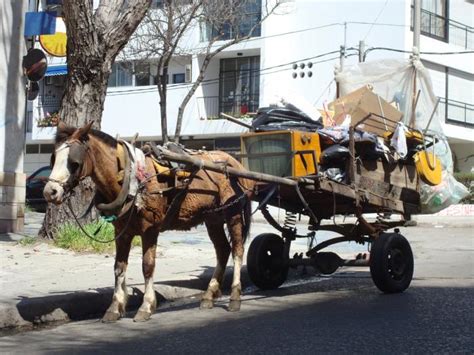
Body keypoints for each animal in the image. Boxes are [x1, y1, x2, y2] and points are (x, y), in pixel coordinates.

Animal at [44, 121, 256, 322]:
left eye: (74, 162)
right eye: (53, 159)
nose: (50, 192)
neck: (129, 177)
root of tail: (234, 163)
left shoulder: (150, 229)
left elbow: (147, 266)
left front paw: (146, 306)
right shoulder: (122, 232)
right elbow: (119, 268)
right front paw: (114, 308)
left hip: (233, 213)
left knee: (237, 251)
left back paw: (235, 296)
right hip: (213, 219)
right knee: (222, 251)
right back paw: (209, 295)